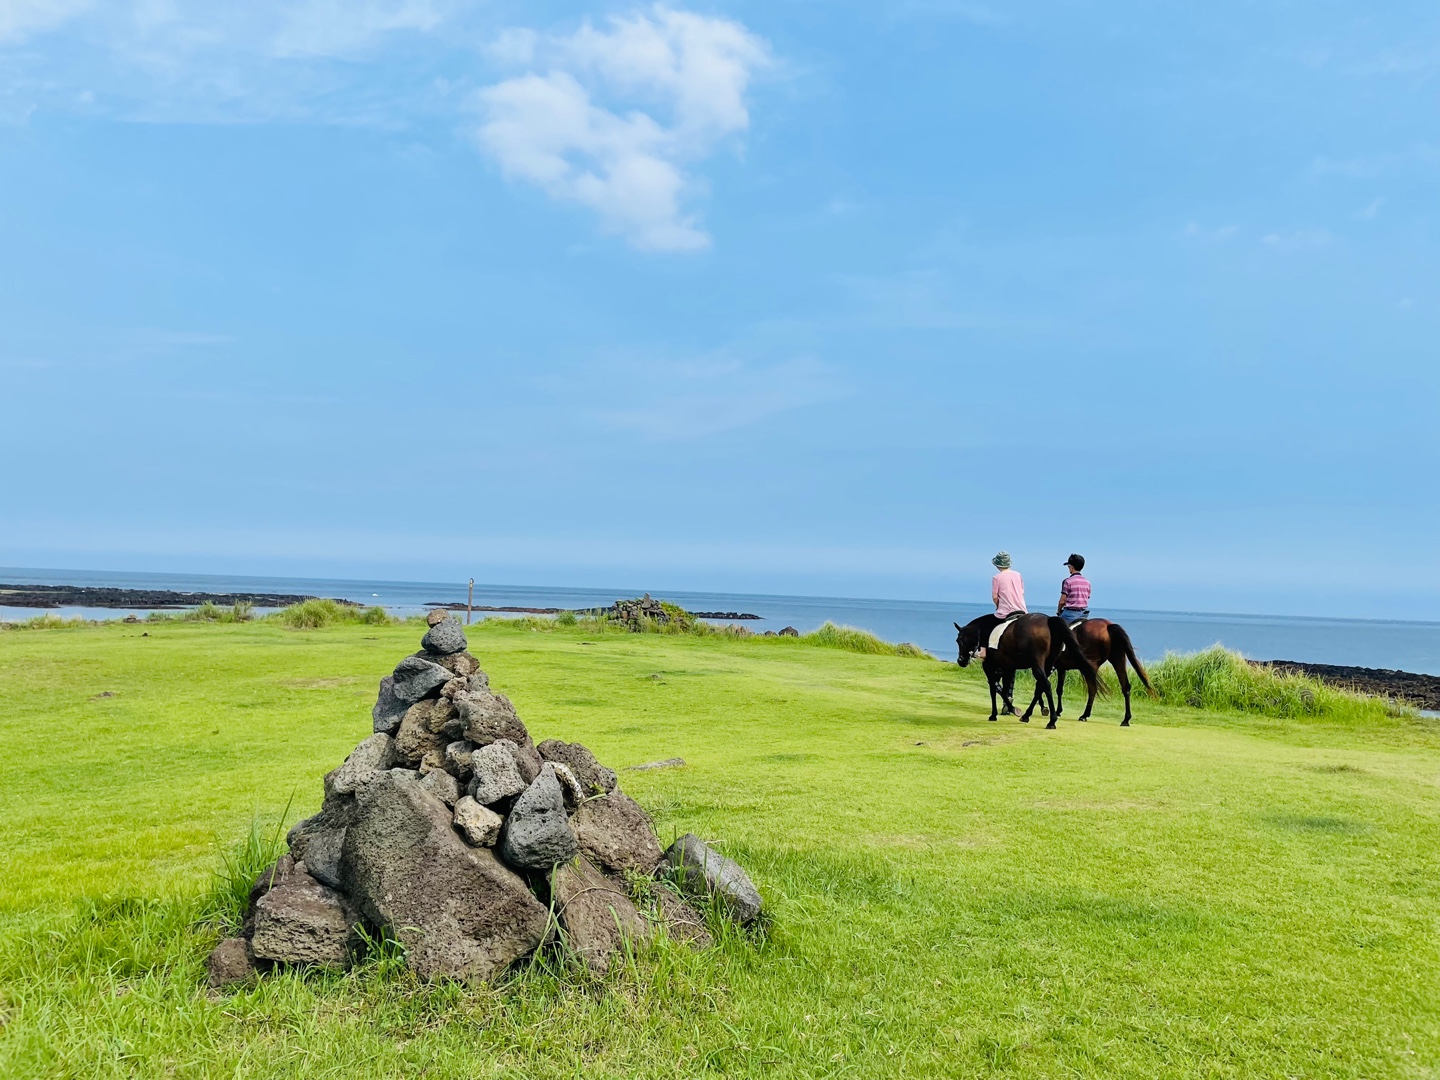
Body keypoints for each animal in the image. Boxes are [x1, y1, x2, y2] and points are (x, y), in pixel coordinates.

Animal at [950, 613, 1094, 731]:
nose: (960, 661)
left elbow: (995, 689)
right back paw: (1027, 715)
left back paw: (1051, 721)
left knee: (1045, 685)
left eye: (959, 640)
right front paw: (1010, 709)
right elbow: (1003, 689)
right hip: (1048, 664)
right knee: (1040, 686)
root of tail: (1048, 620)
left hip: (1037, 663)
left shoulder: (989, 666)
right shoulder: (1007, 667)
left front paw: (998, 713)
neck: (984, 632)